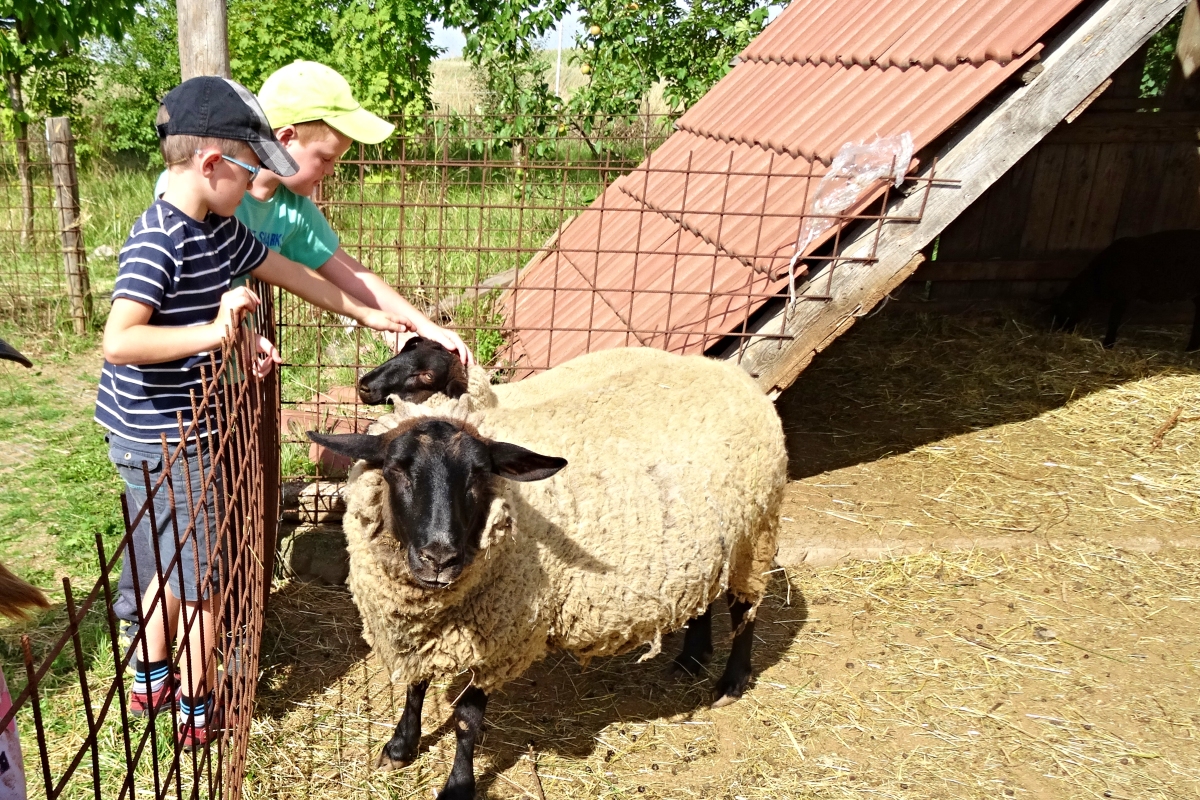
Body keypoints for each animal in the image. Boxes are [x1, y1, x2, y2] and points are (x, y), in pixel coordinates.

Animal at [310, 345, 787, 800]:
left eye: (479, 475)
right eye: (396, 470)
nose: (439, 558)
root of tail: (727, 370)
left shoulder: (502, 636)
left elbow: (466, 719)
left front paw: (459, 785)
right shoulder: (422, 624)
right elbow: (415, 687)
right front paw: (399, 747)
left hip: (757, 533)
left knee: (745, 608)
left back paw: (731, 682)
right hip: (701, 547)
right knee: (702, 596)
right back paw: (691, 658)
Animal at [1052, 229, 1200, 351]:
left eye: (1064, 312)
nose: (1064, 331)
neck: (1096, 279)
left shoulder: (1123, 294)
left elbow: (1114, 320)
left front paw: (1108, 344)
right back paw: (1192, 347)